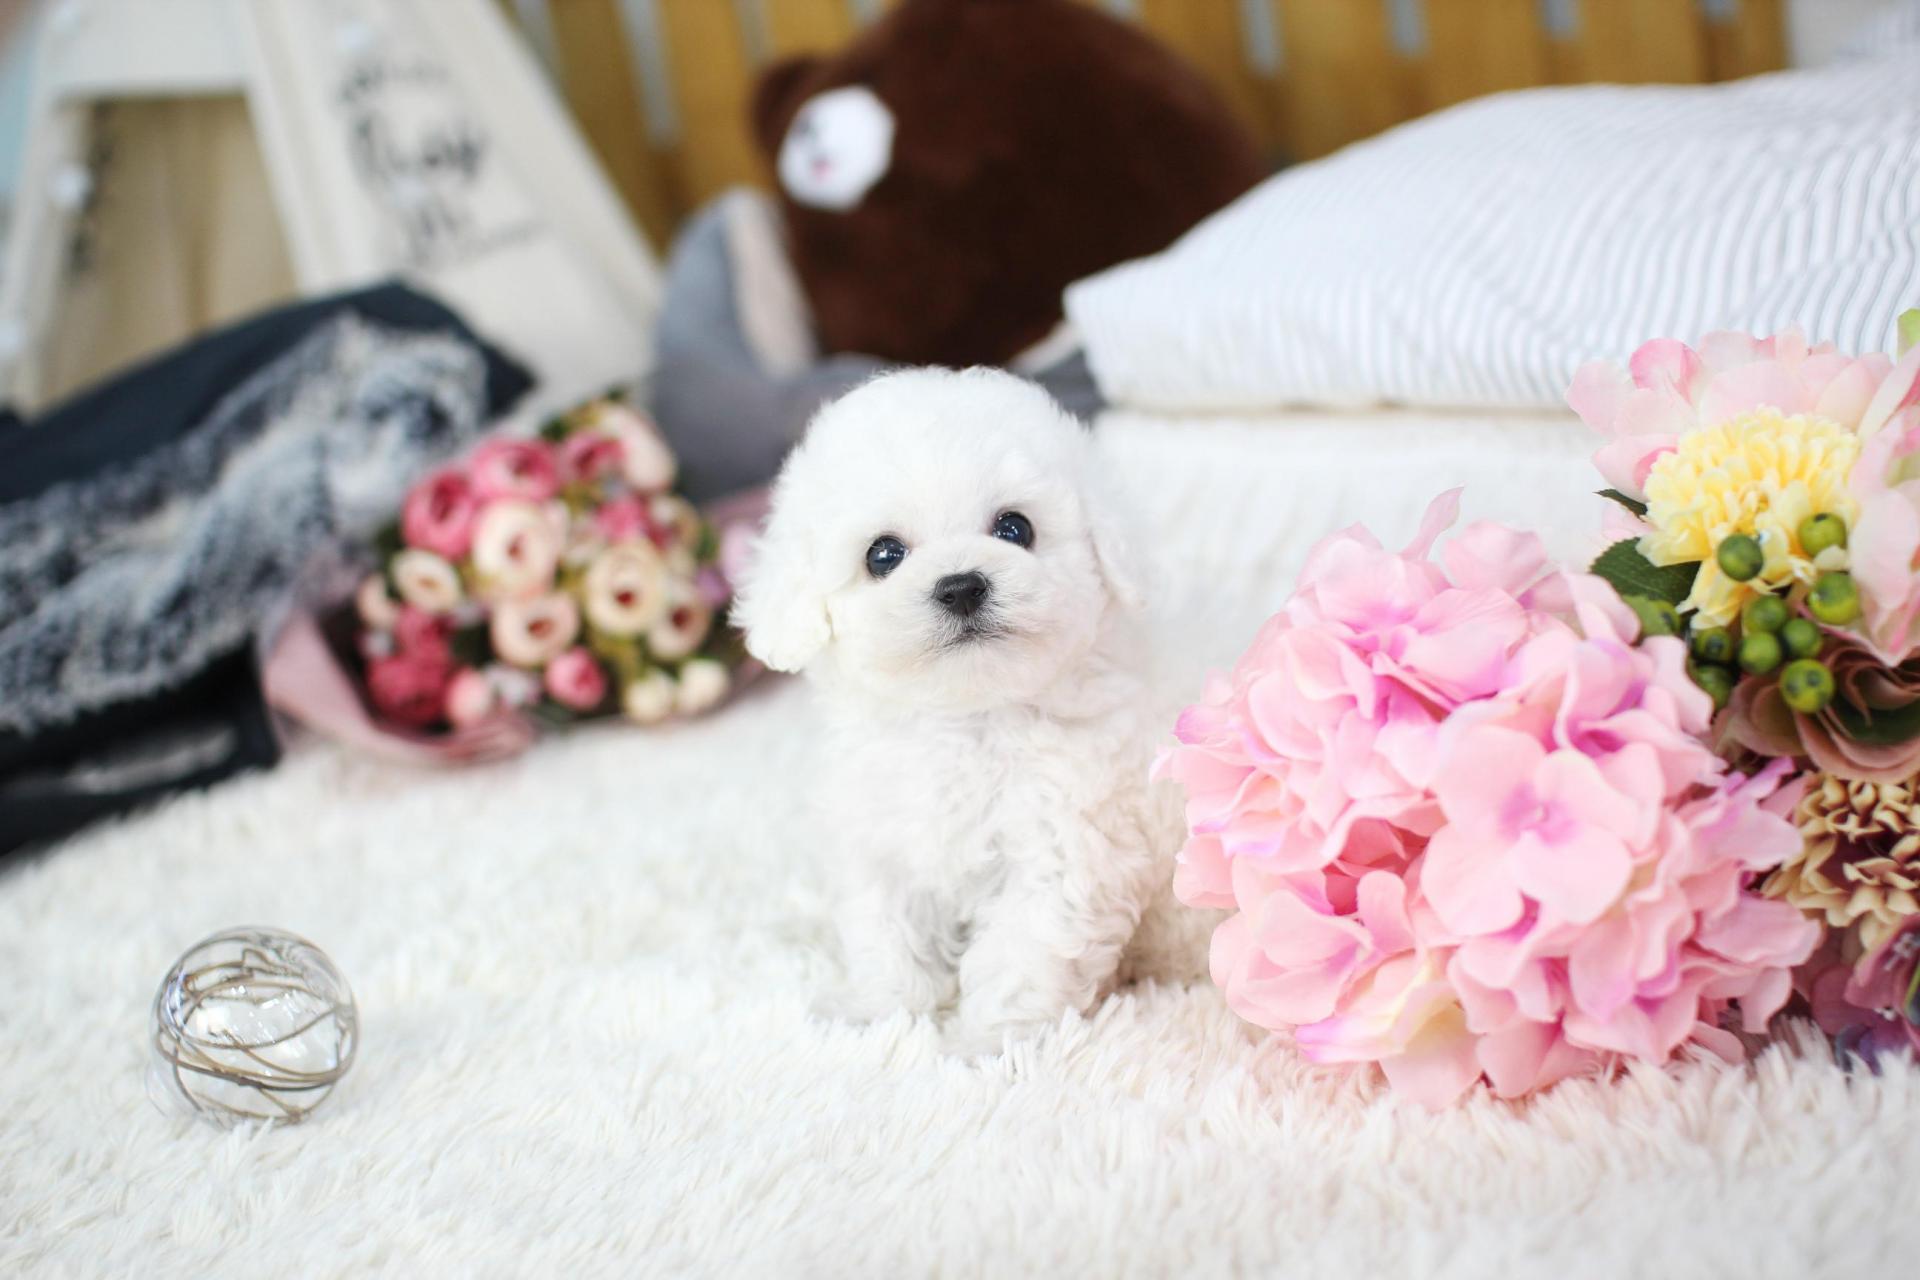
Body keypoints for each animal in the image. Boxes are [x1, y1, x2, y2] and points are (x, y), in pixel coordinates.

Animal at [735, 367, 1202, 1051]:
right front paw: (880, 1016)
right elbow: (887, 934)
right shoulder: (886, 841)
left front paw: (986, 1046)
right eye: (883, 555)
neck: (966, 719)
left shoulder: (1064, 852)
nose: (960, 586)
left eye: (1015, 528)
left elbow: (1020, 956)